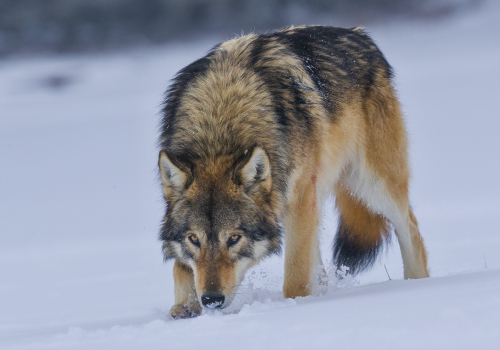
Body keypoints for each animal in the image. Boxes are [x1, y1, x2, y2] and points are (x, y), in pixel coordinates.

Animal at [158, 26, 428, 318]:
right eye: (193, 239)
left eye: (234, 238)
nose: (212, 300)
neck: (219, 127)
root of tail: (361, 35)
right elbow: (179, 267)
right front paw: (184, 306)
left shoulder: (298, 203)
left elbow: (296, 276)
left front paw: (292, 309)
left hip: (371, 186)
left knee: (411, 227)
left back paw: (418, 285)